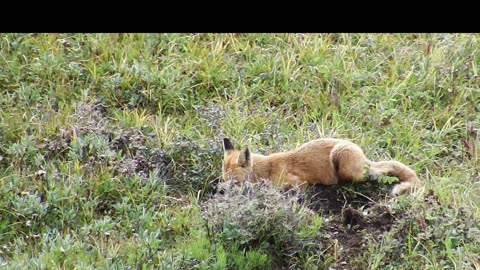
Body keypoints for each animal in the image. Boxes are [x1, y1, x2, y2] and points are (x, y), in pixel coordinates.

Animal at [221, 138, 420, 195]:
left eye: (234, 181)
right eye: (223, 179)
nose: (220, 191)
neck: (267, 169)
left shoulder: (298, 183)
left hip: (343, 162)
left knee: (373, 174)